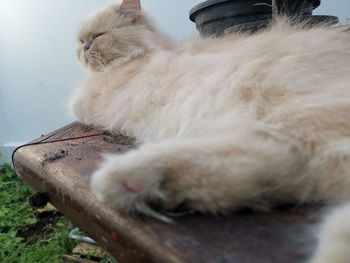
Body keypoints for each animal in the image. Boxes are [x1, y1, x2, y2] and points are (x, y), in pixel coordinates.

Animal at [70, 0, 350, 262]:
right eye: (81, 40)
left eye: (97, 36)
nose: (84, 48)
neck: (145, 53)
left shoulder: (87, 101)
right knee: (270, 165)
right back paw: (138, 187)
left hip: (289, 111)